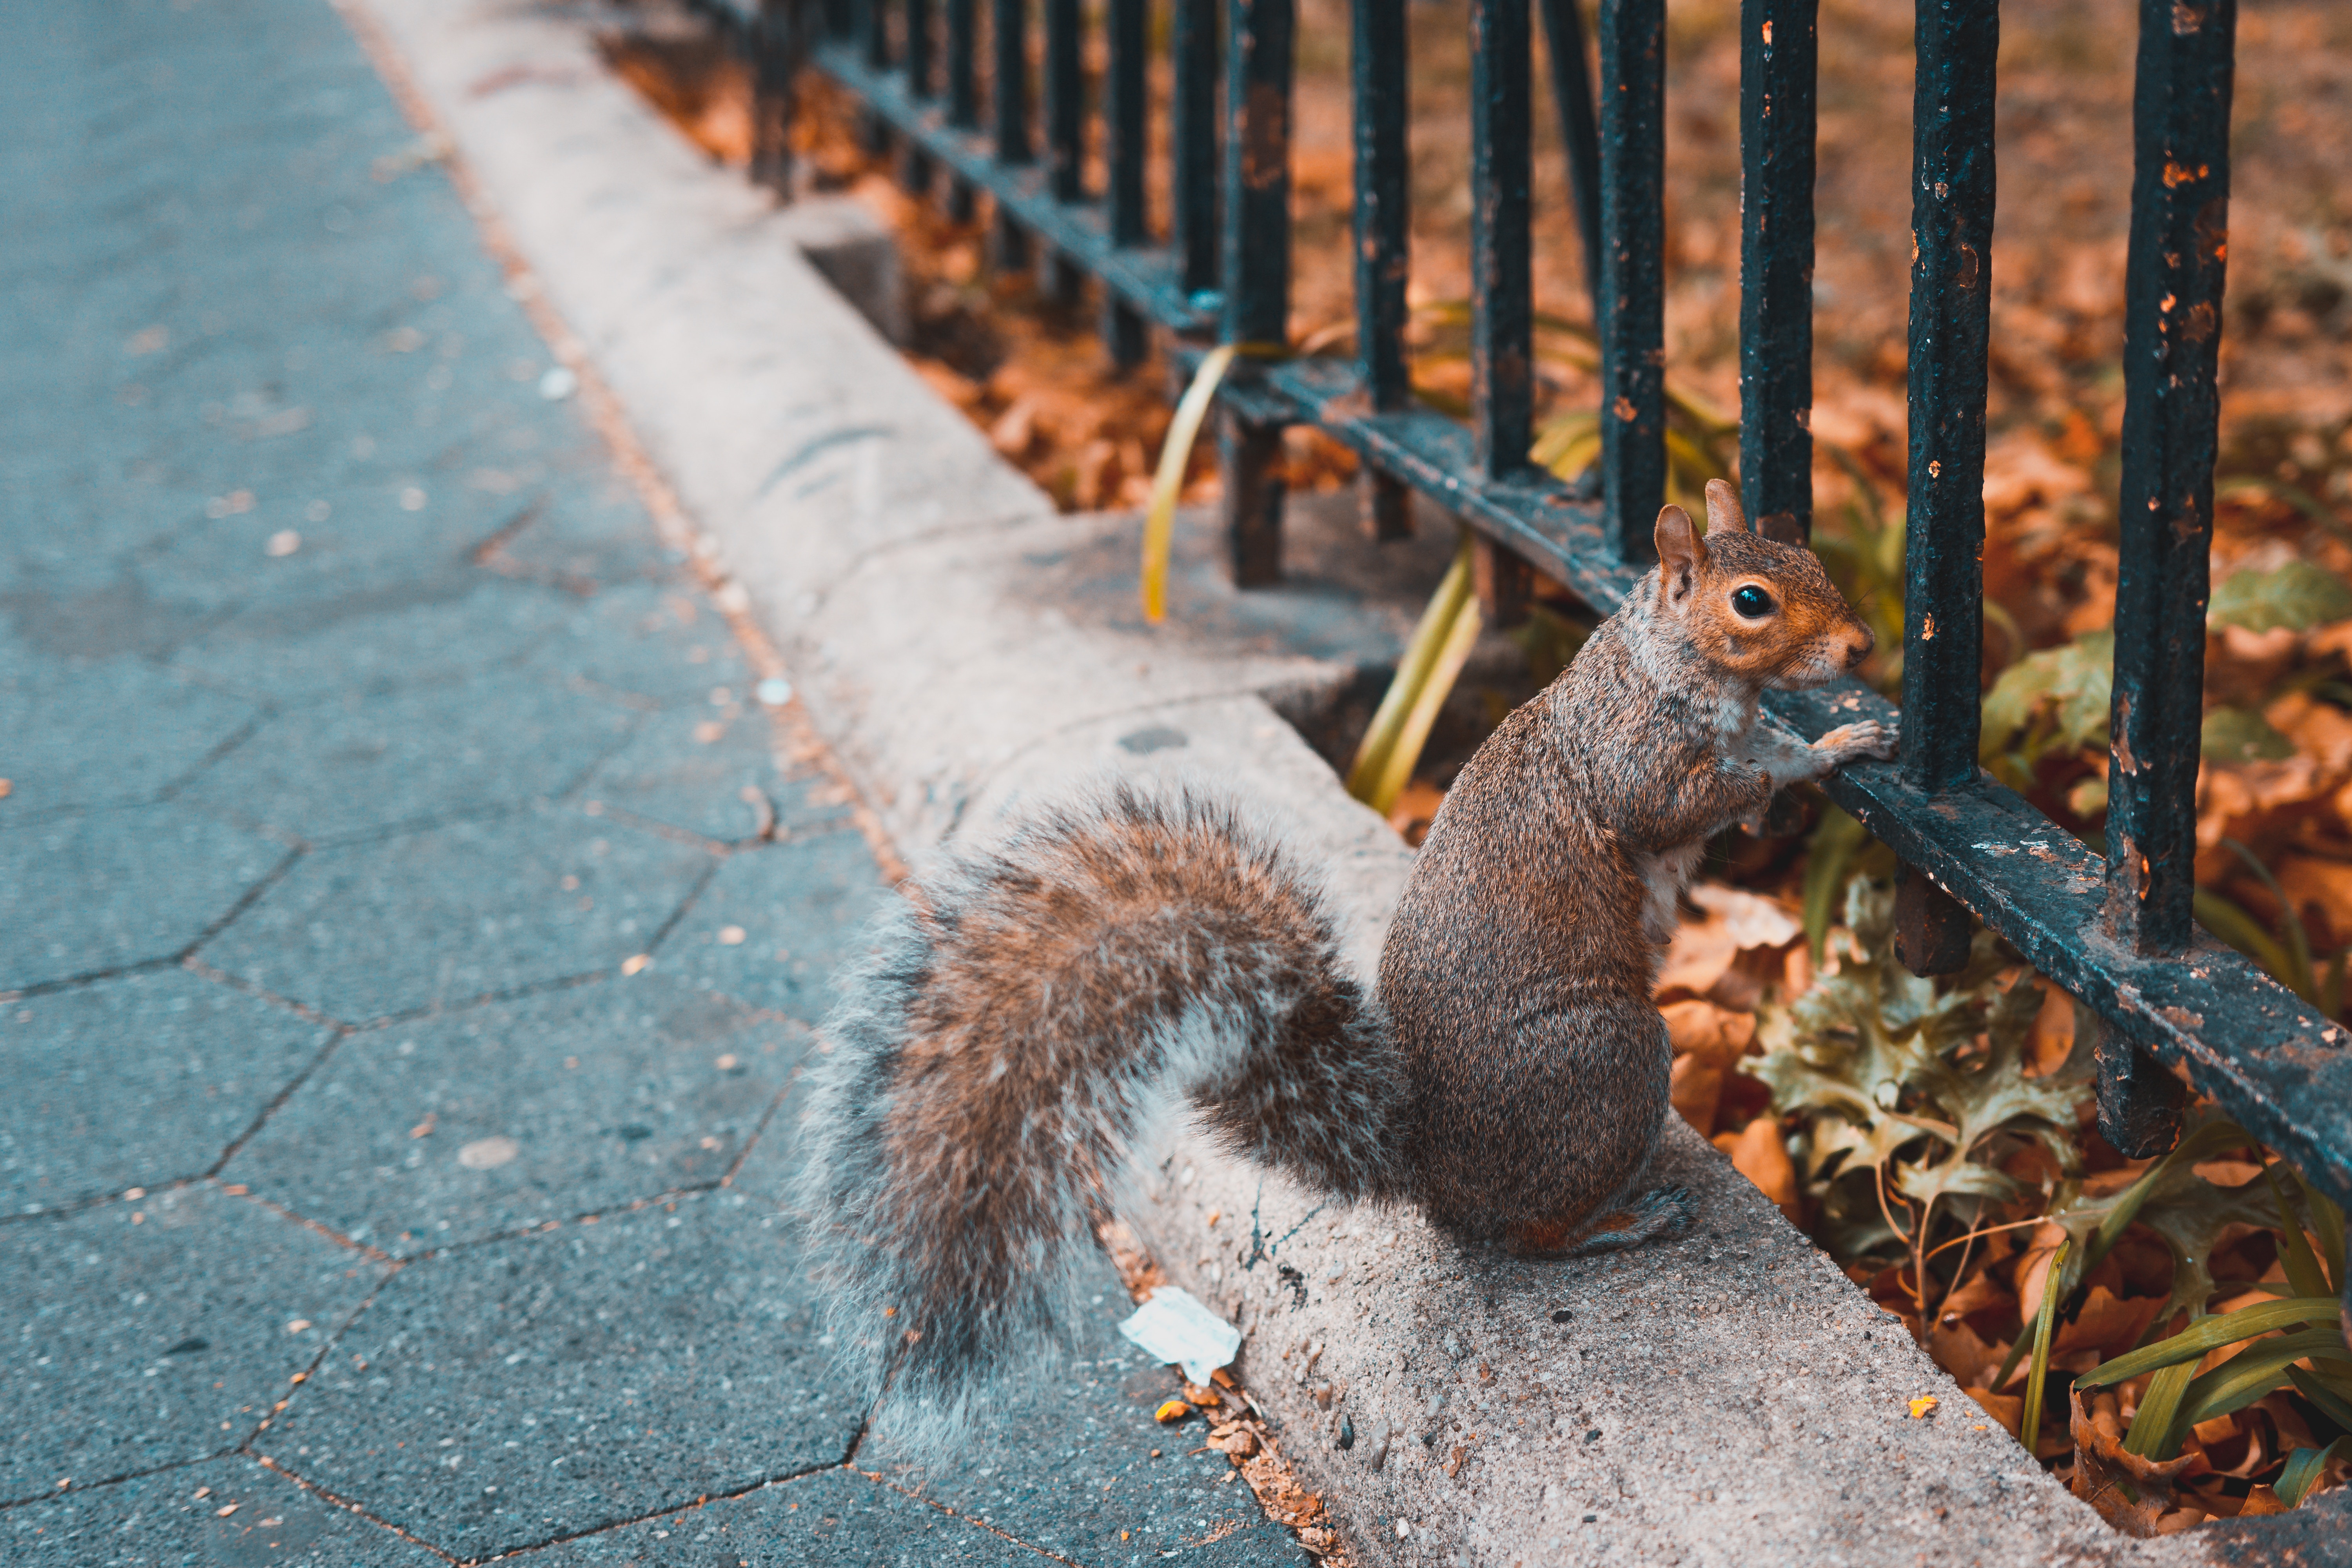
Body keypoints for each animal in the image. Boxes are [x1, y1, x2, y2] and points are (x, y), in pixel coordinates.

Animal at [800, 479, 1900, 1448]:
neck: (1668, 663)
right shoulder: (1634, 761)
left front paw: (1827, 731)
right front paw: (1820, 747)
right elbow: (1702, 795)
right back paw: (1624, 1220)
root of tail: (1428, 1161)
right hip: (1610, 1055)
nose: (1861, 648)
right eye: (1751, 600)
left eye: (1807, 555)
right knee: (1528, 1234)